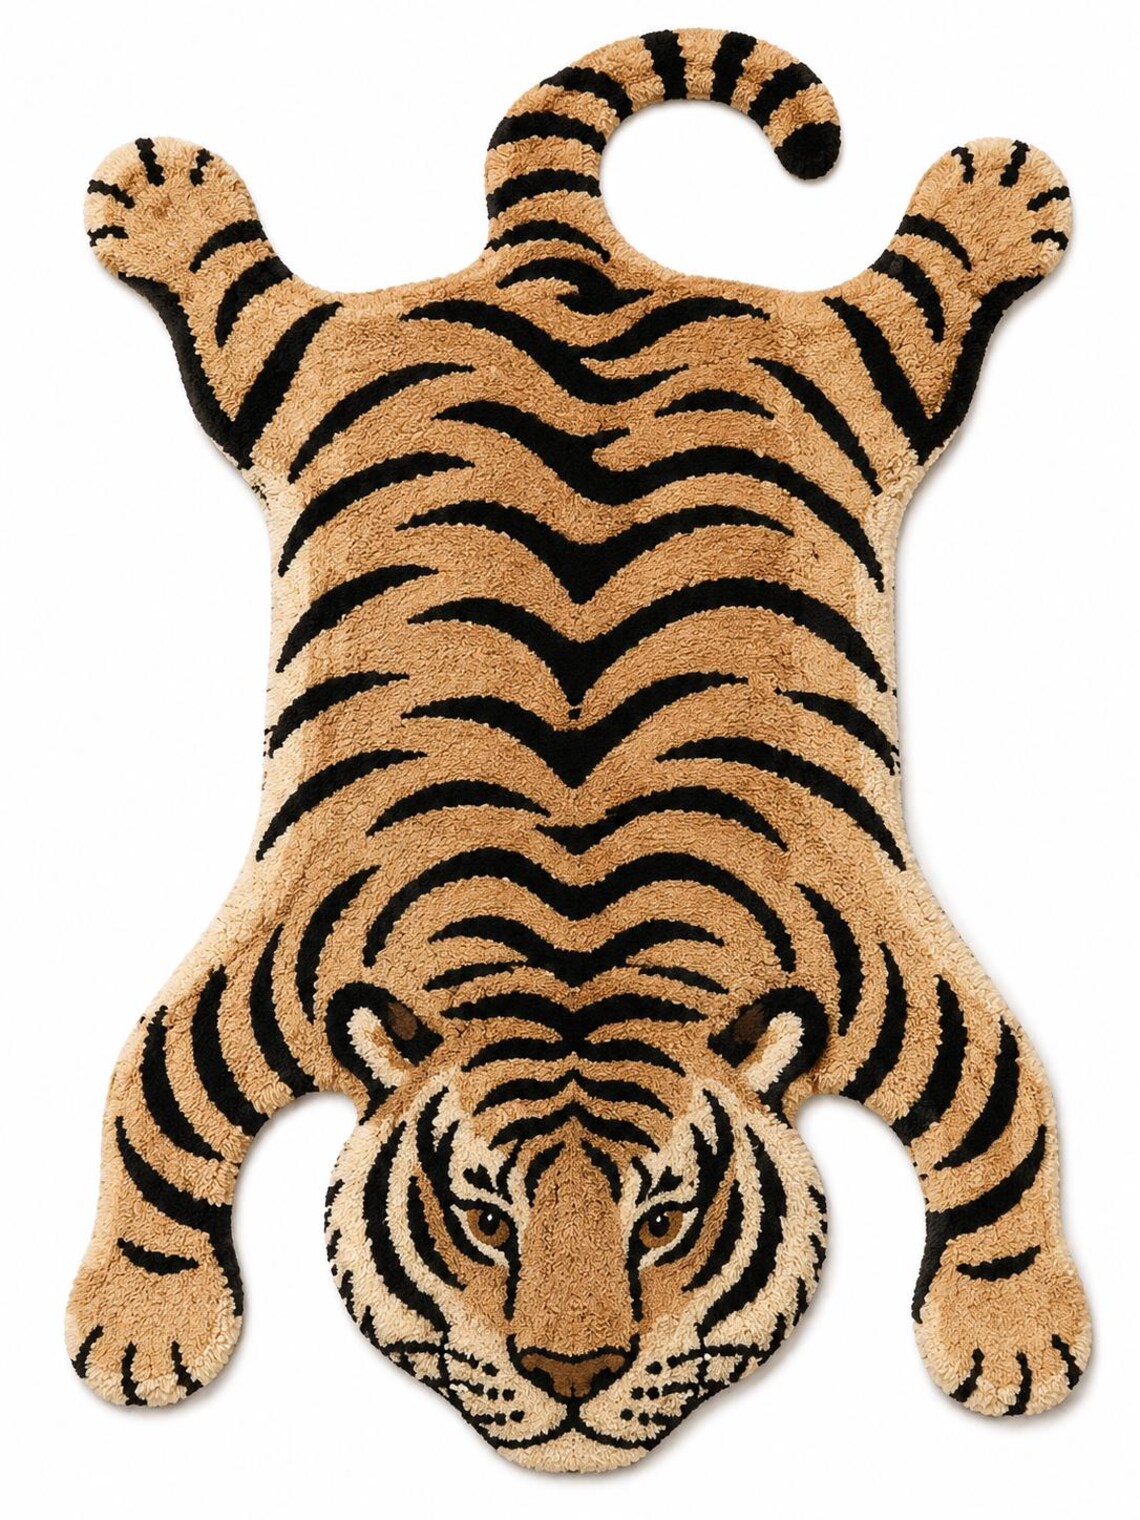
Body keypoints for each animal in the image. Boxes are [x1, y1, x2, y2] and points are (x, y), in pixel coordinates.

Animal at [69, 27, 1089, 1472]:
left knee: (919, 298)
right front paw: (141, 1336)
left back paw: (999, 187)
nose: (569, 1375)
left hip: (852, 372)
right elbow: (150, 1103)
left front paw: (1015, 1348)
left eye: (663, 1220)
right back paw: (160, 187)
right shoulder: (263, 966)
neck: (575, 953)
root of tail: (568, 255)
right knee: (242, 307)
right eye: (483, 1218)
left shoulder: (902, 973)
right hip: (312, 374)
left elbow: (1009, 1120)